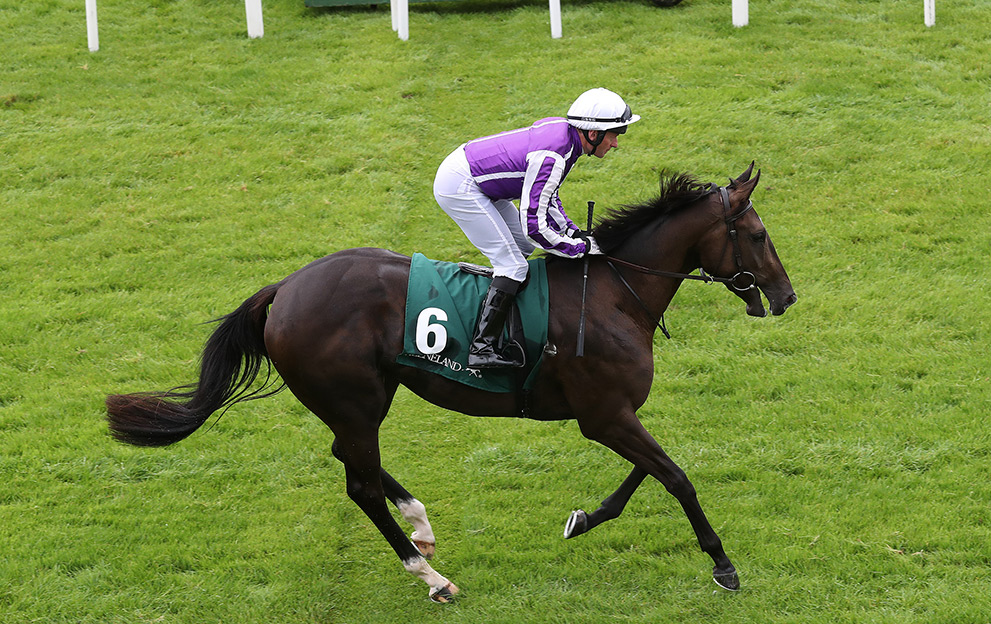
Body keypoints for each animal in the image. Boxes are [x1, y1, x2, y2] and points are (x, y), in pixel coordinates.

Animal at [107, 164, 796, 602]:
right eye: (759, 235)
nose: (786, 297)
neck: (613, 295)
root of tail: (285, 288)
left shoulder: (615, 413)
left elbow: (645, 475)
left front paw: (584, 518)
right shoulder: (604, 415)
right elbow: (674, 475)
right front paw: (723, 565)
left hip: (360, 399)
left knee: (347, 457)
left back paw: (420, 523)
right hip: (355, 399)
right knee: (359, 483)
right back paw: (431, 578)